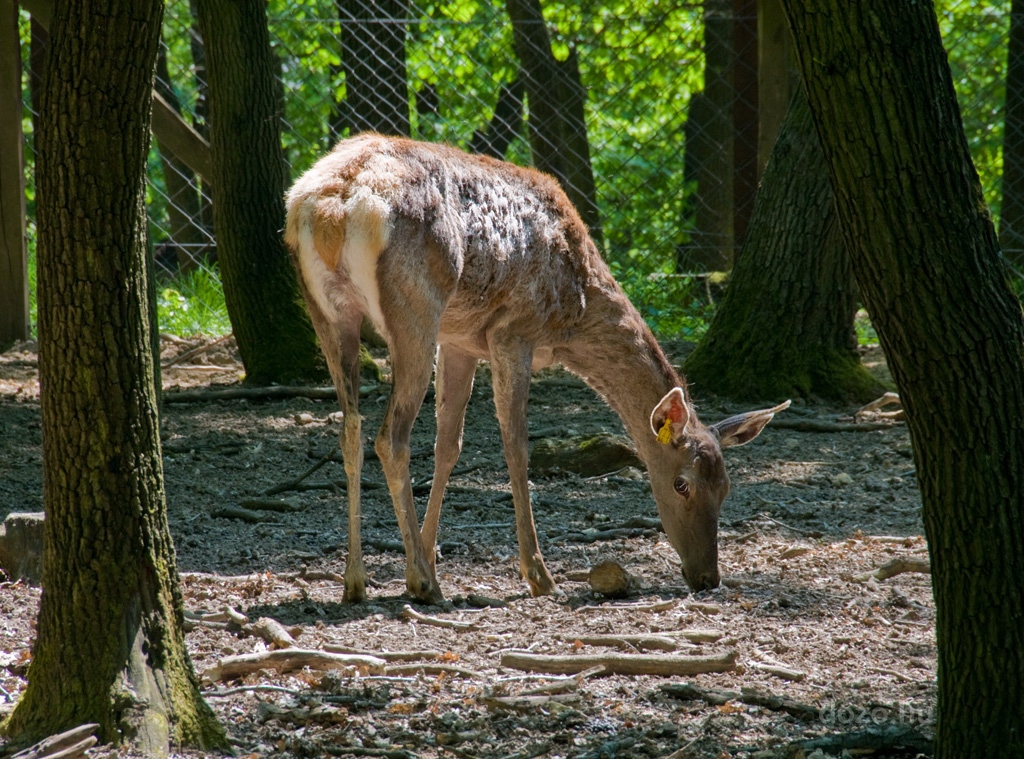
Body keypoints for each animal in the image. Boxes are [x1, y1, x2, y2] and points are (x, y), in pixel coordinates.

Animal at [284, 132, 786, 602]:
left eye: (727, 487)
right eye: (682, 484)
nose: (707, 577)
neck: (574, 313)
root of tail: (332, 208)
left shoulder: (461, 338)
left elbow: (450, 445)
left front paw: (428, 549)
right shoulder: (513, 332)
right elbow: (515, 446)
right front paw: (537, 574)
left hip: (327, 311)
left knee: (350, 427)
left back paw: (357, 581)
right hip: (415, 310)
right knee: (391, 436)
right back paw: (422, 582)